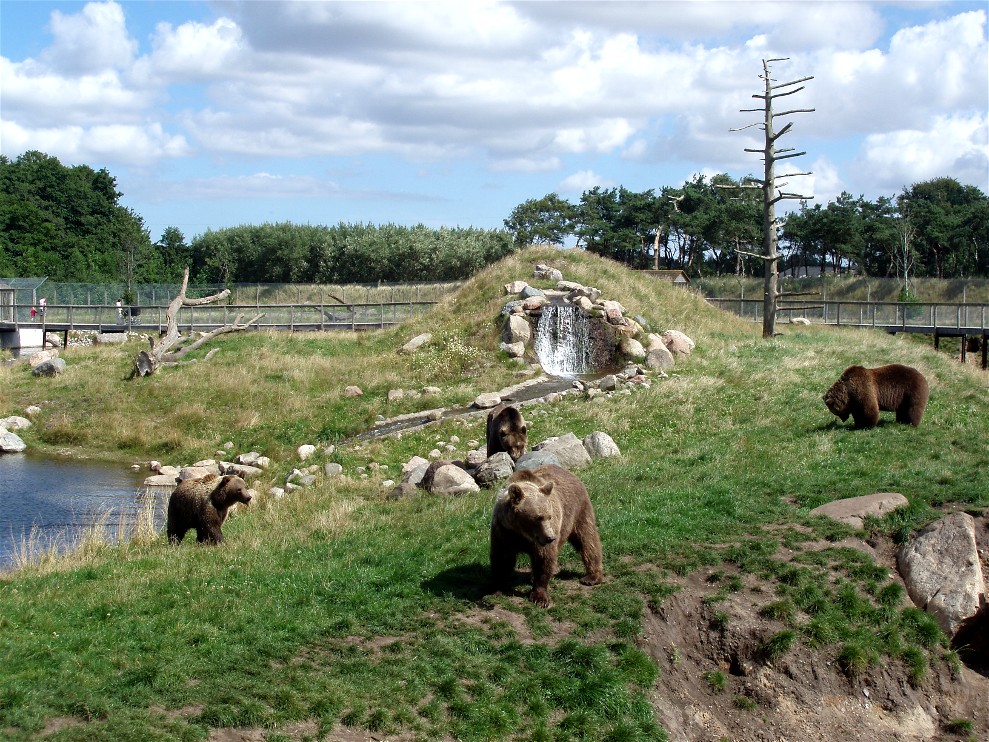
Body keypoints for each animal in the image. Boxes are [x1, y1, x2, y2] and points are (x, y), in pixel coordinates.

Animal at [490, 464, 603, 607]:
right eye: (538, 517)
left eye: (549, 516)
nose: (550, 537)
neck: (521, 532)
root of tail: (568, 472)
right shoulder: (503, 531)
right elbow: (502, 559)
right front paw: (496, 588)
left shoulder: (539, 540)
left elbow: (544, 559)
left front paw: (540, 597)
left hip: (578, 511)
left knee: (587, 539)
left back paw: (591, 577)